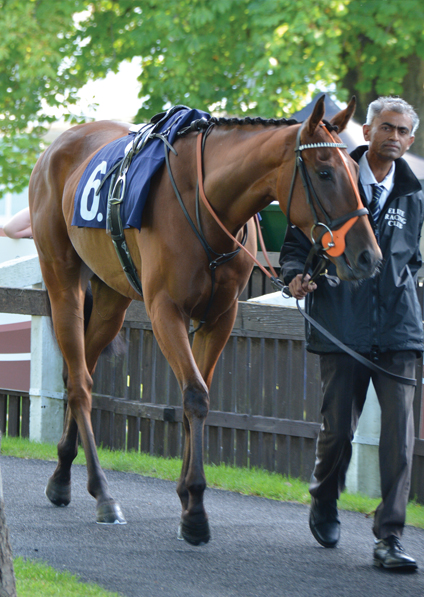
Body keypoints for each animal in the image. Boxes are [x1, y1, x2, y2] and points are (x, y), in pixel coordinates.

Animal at [29, 96, 380, 544]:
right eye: (324, 171)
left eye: (355, 170)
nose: (368, 256)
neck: (206, 202)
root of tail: (56, 147)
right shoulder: (166, 310)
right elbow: (195, 396)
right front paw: (195, 509)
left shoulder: (220, 316)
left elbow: (195, 397)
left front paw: (185, 496)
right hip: (62, 279)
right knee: (79, 383)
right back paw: (102, 492)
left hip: (111, 294)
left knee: (82, 368)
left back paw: (61, 475)